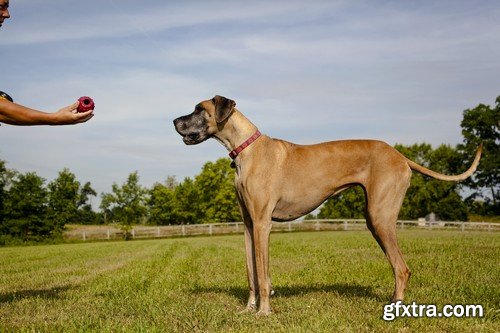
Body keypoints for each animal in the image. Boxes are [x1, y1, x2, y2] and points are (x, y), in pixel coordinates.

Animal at [174, 95, 482, 314]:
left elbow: (263, 275)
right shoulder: (249, 225)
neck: (246, 148)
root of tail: (400, 155)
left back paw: (396, 307)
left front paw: (263, 312)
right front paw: (249, 310)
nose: (174, 121)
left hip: (380, 217)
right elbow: (251, 272)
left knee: (402, 268)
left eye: (199, 109)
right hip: (376, 219)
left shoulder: (262, 223)